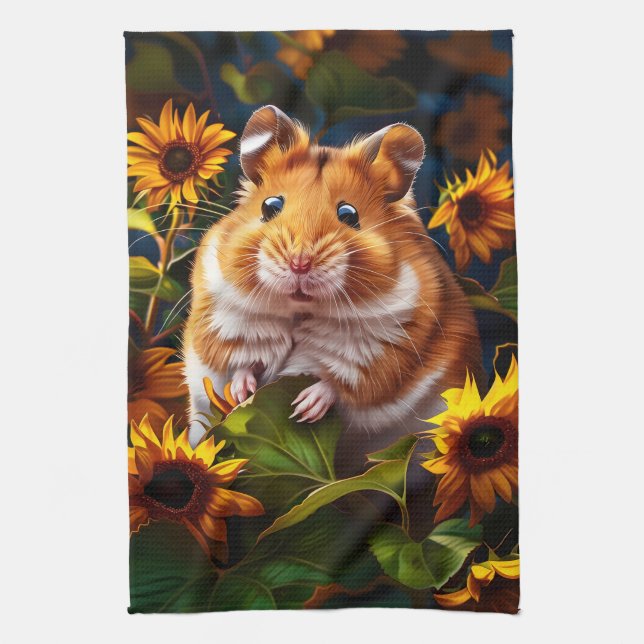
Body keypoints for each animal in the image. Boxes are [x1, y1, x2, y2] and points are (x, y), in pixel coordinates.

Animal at [183, 105, 482, 454]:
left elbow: (341, 380)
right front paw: (241, 394)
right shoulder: (224, 321)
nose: (299, 264)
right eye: (270, 206)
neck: (299, 312)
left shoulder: (386, 347)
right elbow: (239, 363)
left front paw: (303, 408)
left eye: (349, 214)